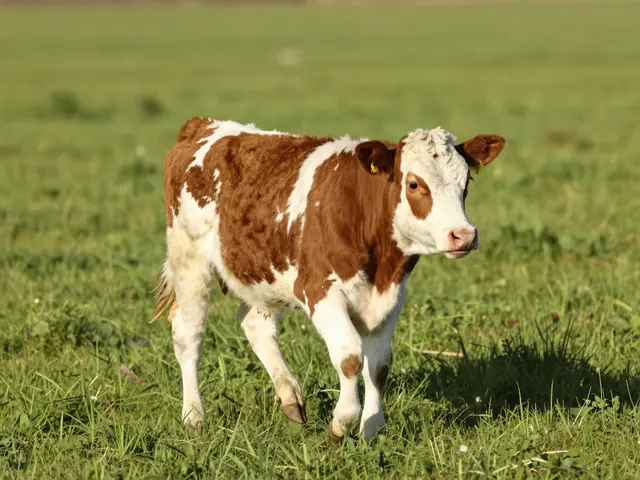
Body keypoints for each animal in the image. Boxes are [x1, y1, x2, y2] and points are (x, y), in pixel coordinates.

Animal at [151, 116, 505, 442]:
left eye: (466, 183)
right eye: (415, 184)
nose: (463, 235)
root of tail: (203, 125)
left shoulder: (392, 297)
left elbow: (378, 367)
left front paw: (372, 429)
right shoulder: (319, 289)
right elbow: (350, 357)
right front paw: (342, 423)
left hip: (261, 272)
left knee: (254, 323)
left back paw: (290, 398)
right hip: (190, 260)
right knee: (188, 334)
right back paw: (194, 417)